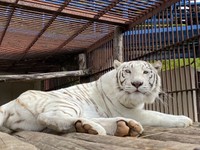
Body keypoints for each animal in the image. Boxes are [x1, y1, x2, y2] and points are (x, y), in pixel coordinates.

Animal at [0, 60, 192, 137]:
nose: (137, 83)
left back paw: (122, 127)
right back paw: (97, 128)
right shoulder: (133, 112)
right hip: (66, 103)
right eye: (127, 71)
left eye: (145, 72)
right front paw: (184, 120)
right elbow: (158, 115)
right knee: (48, 117)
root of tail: (10, 103)